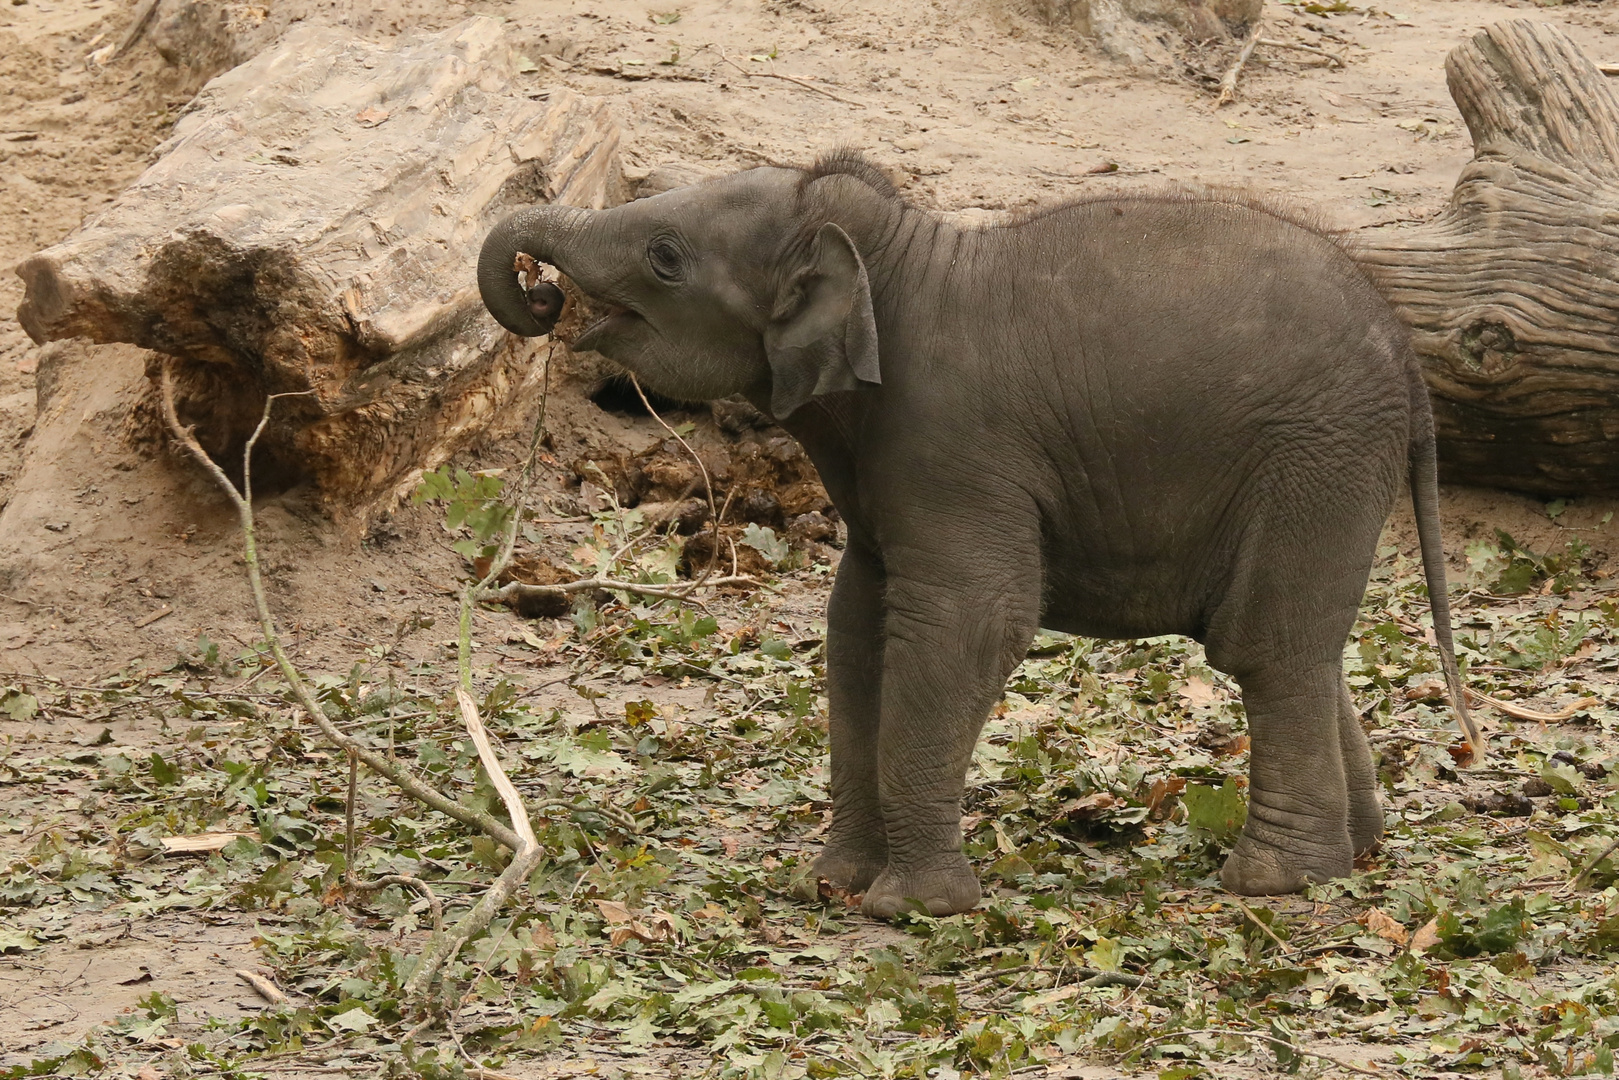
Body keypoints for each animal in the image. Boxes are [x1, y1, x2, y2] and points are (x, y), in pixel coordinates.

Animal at [472, 152, 1476, 919]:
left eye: (664, 256)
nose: (537, 292)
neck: (888, 253)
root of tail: (1408, 358)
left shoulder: (952, 441)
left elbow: (970, 621)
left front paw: (908, 909)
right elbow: (855, 626)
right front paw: (832, 887)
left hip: (1314, 455)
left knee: (1262, 646)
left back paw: (1273, 882)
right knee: (1302, 643)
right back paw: (1355, 852)